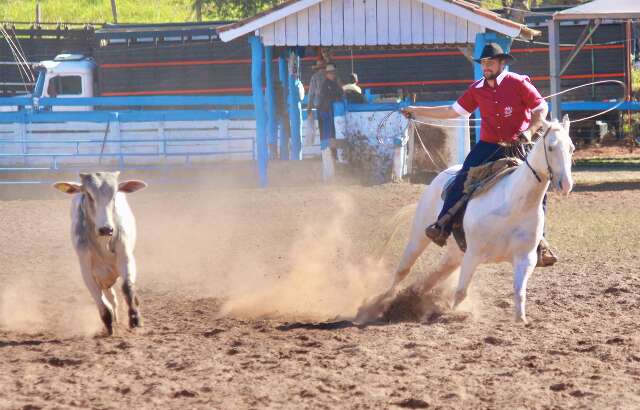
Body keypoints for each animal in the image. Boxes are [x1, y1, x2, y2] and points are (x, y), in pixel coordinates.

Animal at [356, 114, 576, 324]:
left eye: (571, 148)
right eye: (551, 147)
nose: (566, 184)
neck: (514, 203)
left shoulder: (526, 258)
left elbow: (519, 292)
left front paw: (520, 320)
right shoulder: (473, 254)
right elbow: (461, 292)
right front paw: (454, 315)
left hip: (455, 253)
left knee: (437, 273)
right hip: (419, 237)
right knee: (403, 270)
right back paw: (380, 302)